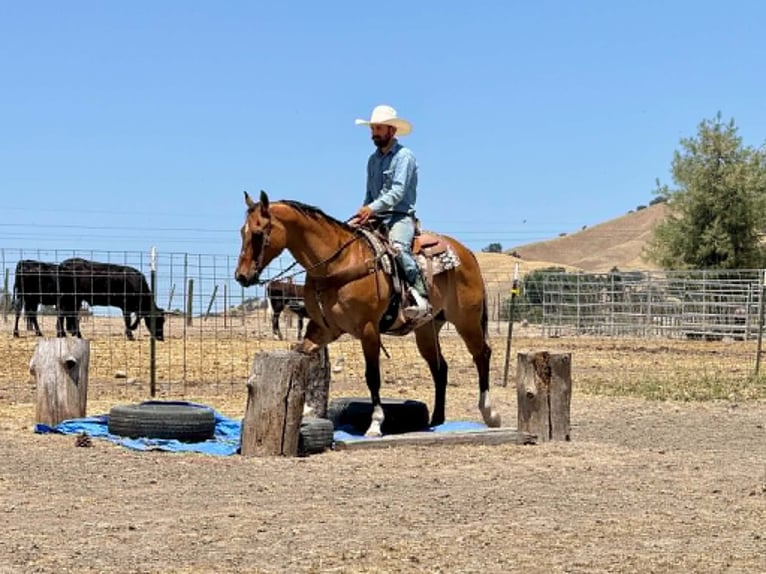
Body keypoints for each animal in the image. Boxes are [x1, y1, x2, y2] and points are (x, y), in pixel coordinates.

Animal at [234, 190, 501, 437]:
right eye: (241, 232)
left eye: (258, 233)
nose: (242, 276)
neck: (337, 263)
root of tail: (467, 253)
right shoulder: (323, 328)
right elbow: (303, 356)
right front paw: (307, 409)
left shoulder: (368, 329)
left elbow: (372, 376)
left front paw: (375, 423)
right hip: (427, 328)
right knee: (440, 367)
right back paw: (436, 420)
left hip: (466, 320)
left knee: (481, 354)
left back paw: (490, 413)